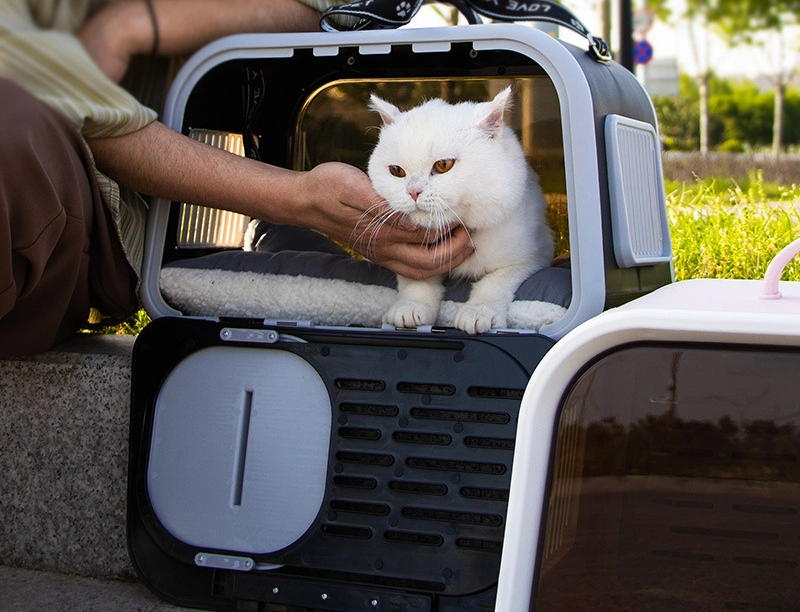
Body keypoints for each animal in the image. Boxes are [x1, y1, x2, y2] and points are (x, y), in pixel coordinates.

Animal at [366, 85, 552, 332]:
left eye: (443, 165)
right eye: (396, 171)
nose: (413, 192)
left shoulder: (532, 257)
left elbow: (494, 282)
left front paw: (479, 313)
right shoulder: (412, 261)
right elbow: (416, 280)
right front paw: (410, 307)